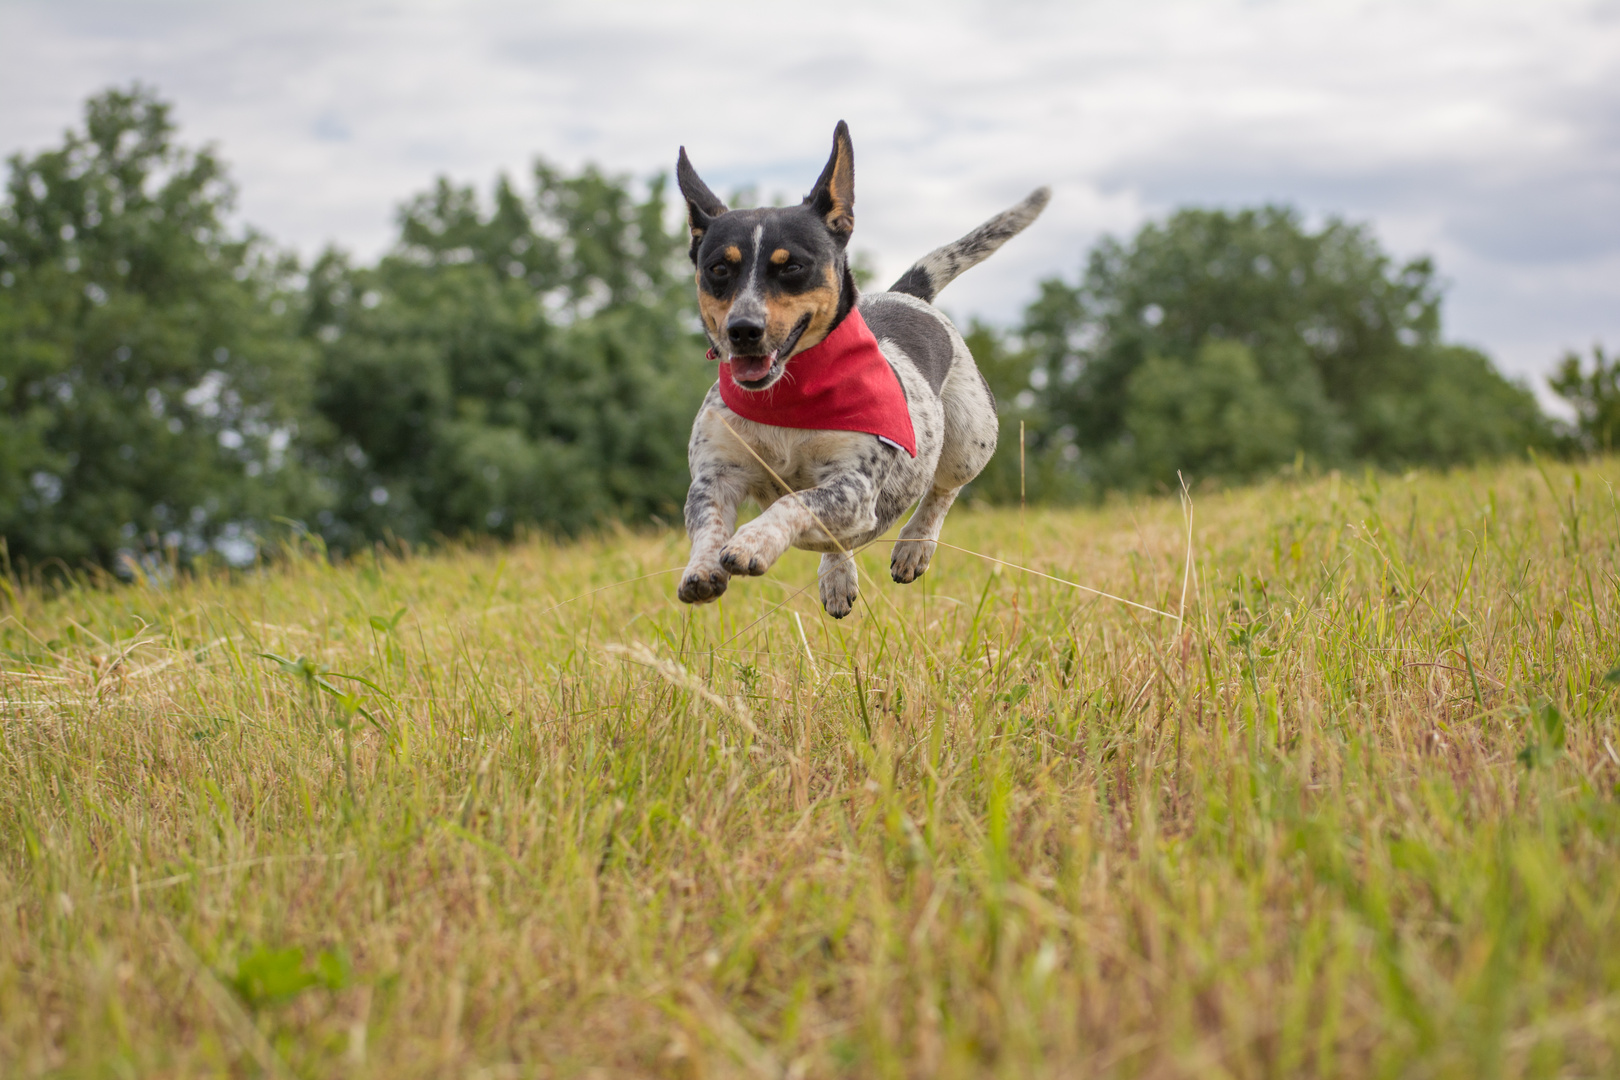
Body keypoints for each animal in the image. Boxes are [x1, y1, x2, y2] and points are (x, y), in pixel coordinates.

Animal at [673, 119, 1043, 621]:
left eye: (793, 266)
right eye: (718, 268)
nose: (742, 329)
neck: (789, 395)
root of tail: (908, 293)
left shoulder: (855, 483)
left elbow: (796, 499)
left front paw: (753, 541)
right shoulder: (716, 474)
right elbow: (709, 520)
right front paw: (703, 568)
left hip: (971, 438)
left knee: (943, 489)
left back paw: (913, 546)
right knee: (841, 539)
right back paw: (837, 576)